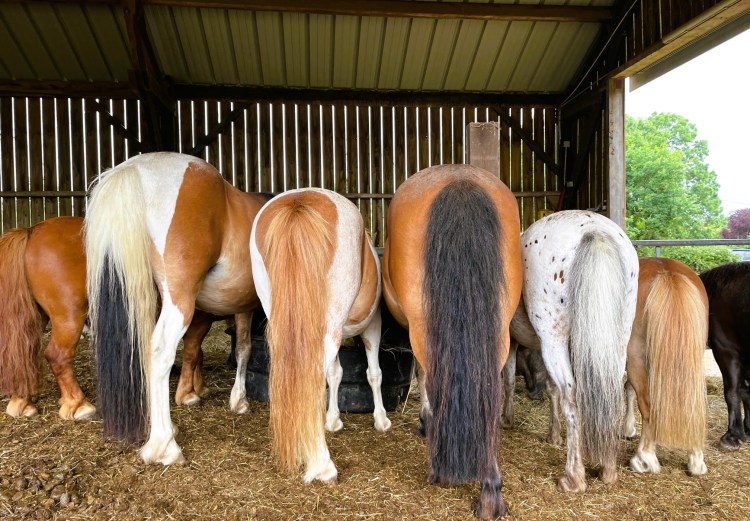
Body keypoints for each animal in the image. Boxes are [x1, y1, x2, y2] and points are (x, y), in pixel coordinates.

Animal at [85, 152, 271, 464]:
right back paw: (163, 446)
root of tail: (133, 170)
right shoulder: (249, 306)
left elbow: (241, 348)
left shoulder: (240, 306)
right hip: (178, 300)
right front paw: (240, 401)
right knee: (160, 352)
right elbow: (247, 348)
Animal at [249, 187, 390, 484]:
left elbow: (335, 373)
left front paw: (332, 420)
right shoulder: (373, 326)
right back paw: (323, 466)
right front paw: (381, 420)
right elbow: (374, 373)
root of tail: (298, 202)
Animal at [381, 164, 522, 519]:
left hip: (423, 327)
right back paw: (490, 489)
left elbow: (421, 377)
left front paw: (424, 424)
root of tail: (460, 181)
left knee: (433, 377)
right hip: (497, 327)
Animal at [509, 210, 638, 492]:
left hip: (553, 340)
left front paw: (506, 418)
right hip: (616, 340)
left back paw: (573, 477)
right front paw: (554, 435)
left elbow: (508, 379)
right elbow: (551, 389)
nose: (531, 392)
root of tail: (594, 230)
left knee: (572, 398)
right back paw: (608, 470)